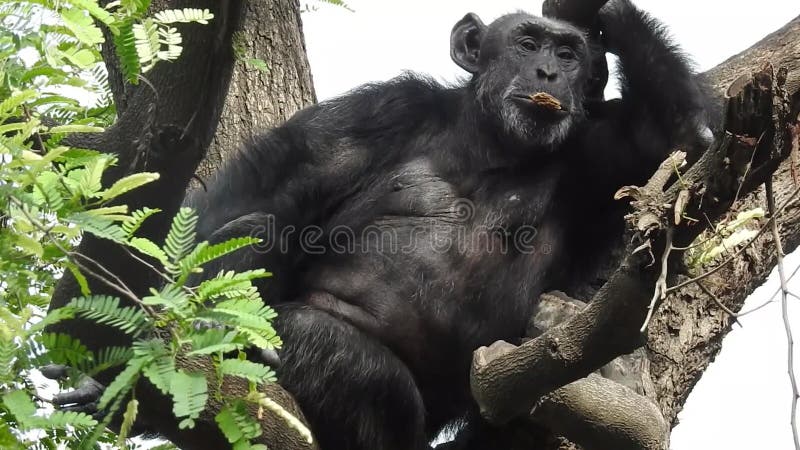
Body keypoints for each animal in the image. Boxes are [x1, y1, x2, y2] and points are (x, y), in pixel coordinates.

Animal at [53, 0, 708, 450]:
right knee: (264, 229)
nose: (550, 71)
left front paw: (608, 14)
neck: (492, 145)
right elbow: (245, 196)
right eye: (527, 44)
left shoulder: (601, 148)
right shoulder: (370, 117)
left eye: (568, 55)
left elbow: (683, 145)